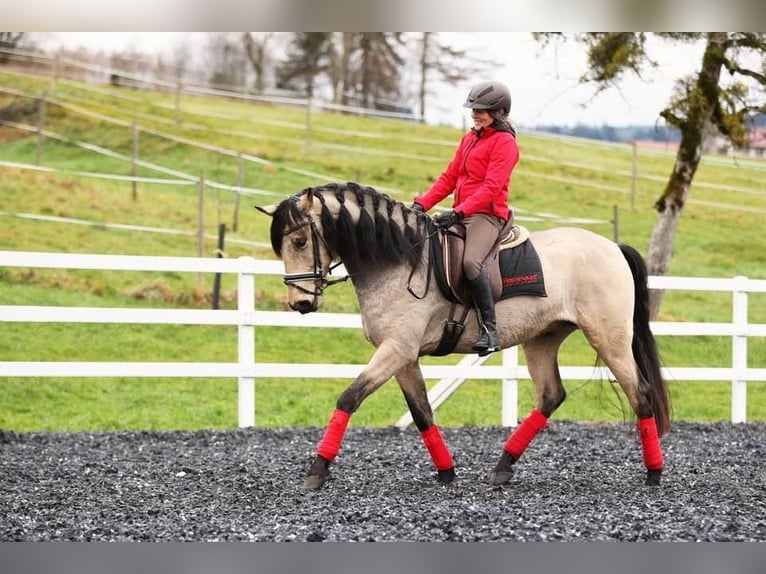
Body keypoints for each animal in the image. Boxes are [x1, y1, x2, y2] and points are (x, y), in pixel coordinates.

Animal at [256, 181, 671, 490]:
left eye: (299, 242)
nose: (300, 303)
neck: (399, 260)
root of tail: (612, 247)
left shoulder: (396, 349)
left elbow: (349, 397)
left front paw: (317, 470)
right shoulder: (404, 356)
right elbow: (421, 412)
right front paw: (446, 471)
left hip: (609, 337)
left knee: (640, 394)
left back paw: (654, 473)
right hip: (542, 339)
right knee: (551, 395)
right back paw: (503, 466)